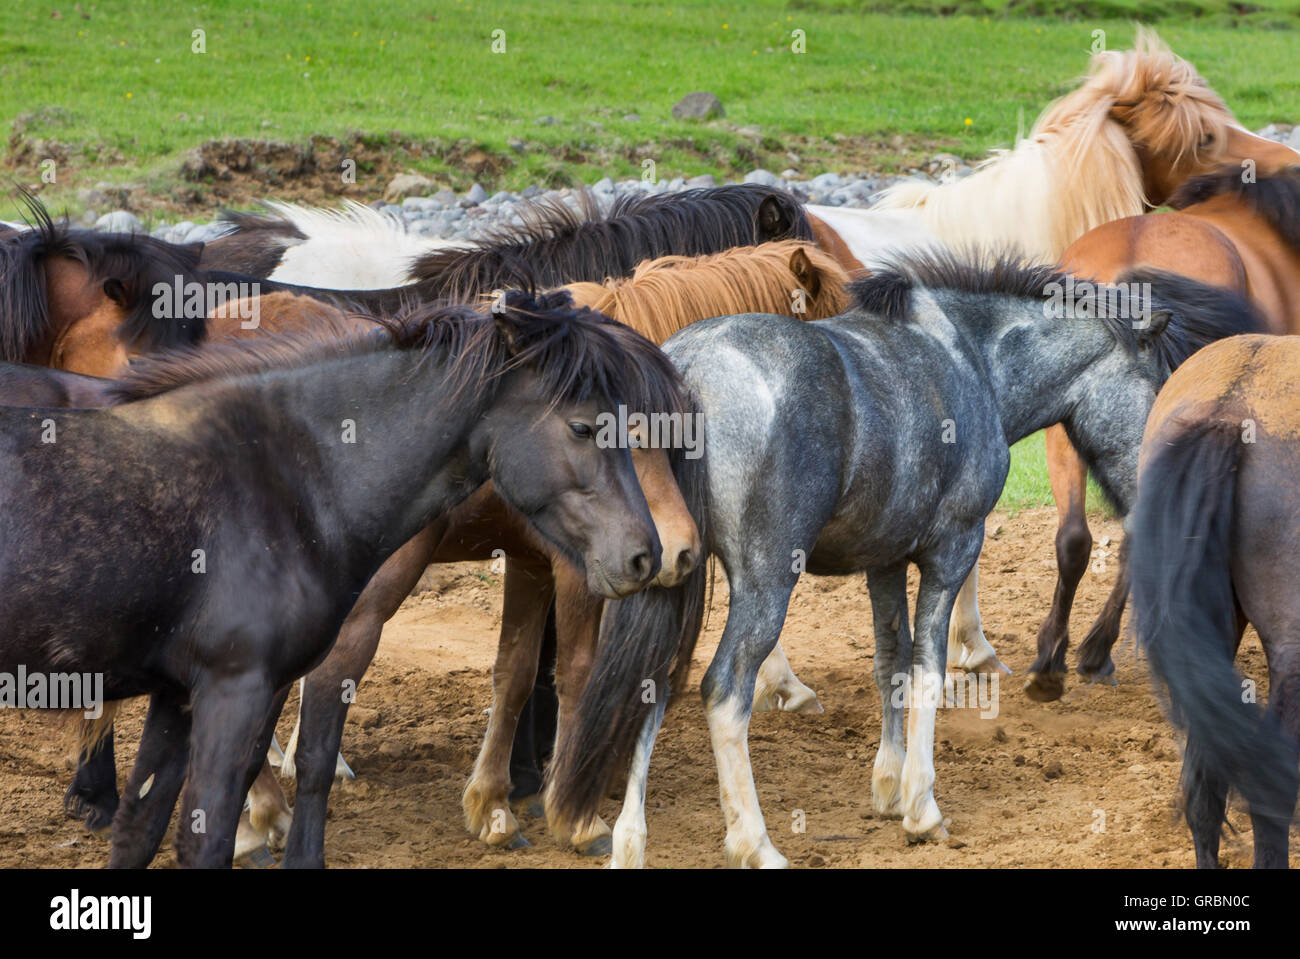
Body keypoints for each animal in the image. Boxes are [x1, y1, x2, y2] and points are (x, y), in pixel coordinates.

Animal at [2, 291, 691, 868]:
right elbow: (233, 819)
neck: (287, 474)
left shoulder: (179, 695)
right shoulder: (235, 687)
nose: (649, 553)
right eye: (582, 426)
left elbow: (140, 830)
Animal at [543, 250, 1263, 862]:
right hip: (766, 582)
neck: (971, 360)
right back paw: (755, 842)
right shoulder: (952, 547)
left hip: (672, 580)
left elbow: (889, 663)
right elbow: (928, 669)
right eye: (1159, 387)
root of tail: (687, 368)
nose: (1162, 491)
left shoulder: (884, 560)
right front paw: (921, 805)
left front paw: (888, 787)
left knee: (651, 683)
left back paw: (629, 840)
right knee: (724, 690)